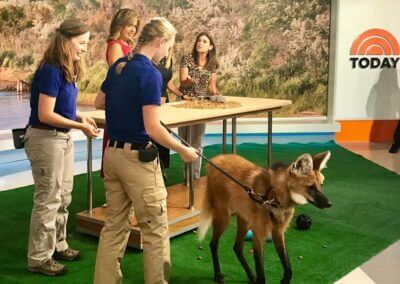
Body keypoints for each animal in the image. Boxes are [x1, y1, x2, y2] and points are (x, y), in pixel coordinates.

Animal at [198, 152, 332, 282]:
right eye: (311, 187)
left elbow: (288, 269)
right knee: (213, 244)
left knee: (237, 247)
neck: (274, 198)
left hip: (244, 220)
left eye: (321, 185)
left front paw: (284, 280)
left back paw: (251, 275)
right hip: (225, 218)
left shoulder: (278, 232)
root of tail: (215, 159)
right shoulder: (259, 235)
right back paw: (217, 275)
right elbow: (262, 274)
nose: (329, 203)